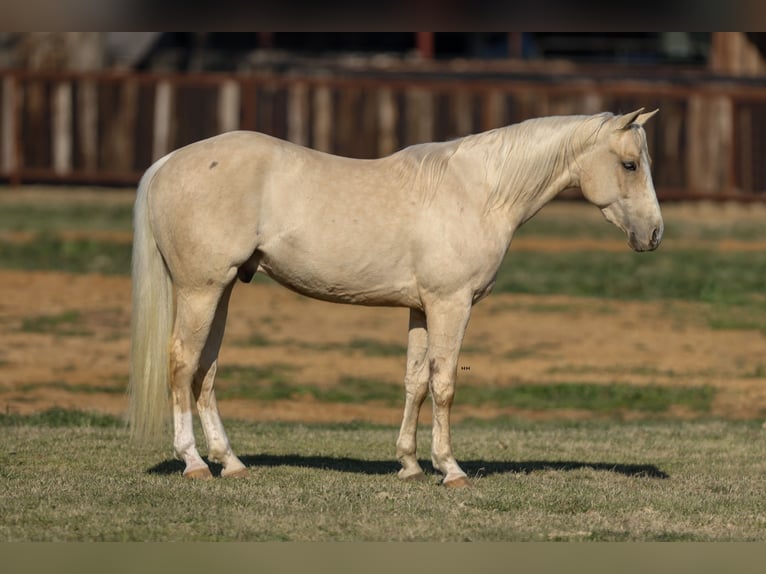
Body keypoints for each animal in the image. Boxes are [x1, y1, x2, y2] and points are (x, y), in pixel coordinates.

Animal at [129, 107, 664, 486]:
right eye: (630, 164)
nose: (655, 234)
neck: (479, 192)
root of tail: (169, 161)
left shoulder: (421, 309)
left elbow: (415, 382)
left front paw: (409, 464)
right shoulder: (451, 305)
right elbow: (444, 383)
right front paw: (450, 469)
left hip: (220, 293)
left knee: (206, 370)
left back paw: (230, 461)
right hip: (201, 291)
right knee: (182, 363)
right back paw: (194, 462)